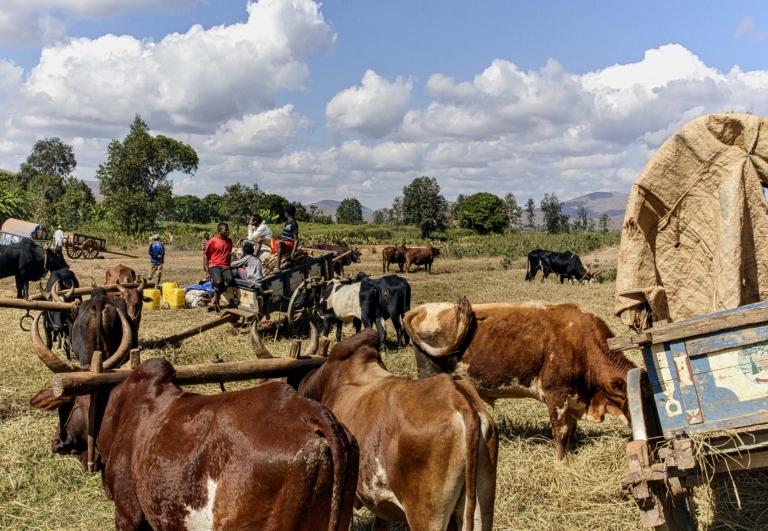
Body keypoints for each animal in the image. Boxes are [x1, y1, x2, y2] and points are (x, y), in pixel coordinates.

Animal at [403, 298, 636, 463]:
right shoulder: (556, 395)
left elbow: (570, 431)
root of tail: (424, 308)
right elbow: (560, 432)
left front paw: (570, 456)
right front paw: (561, 464)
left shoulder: (572, 398)